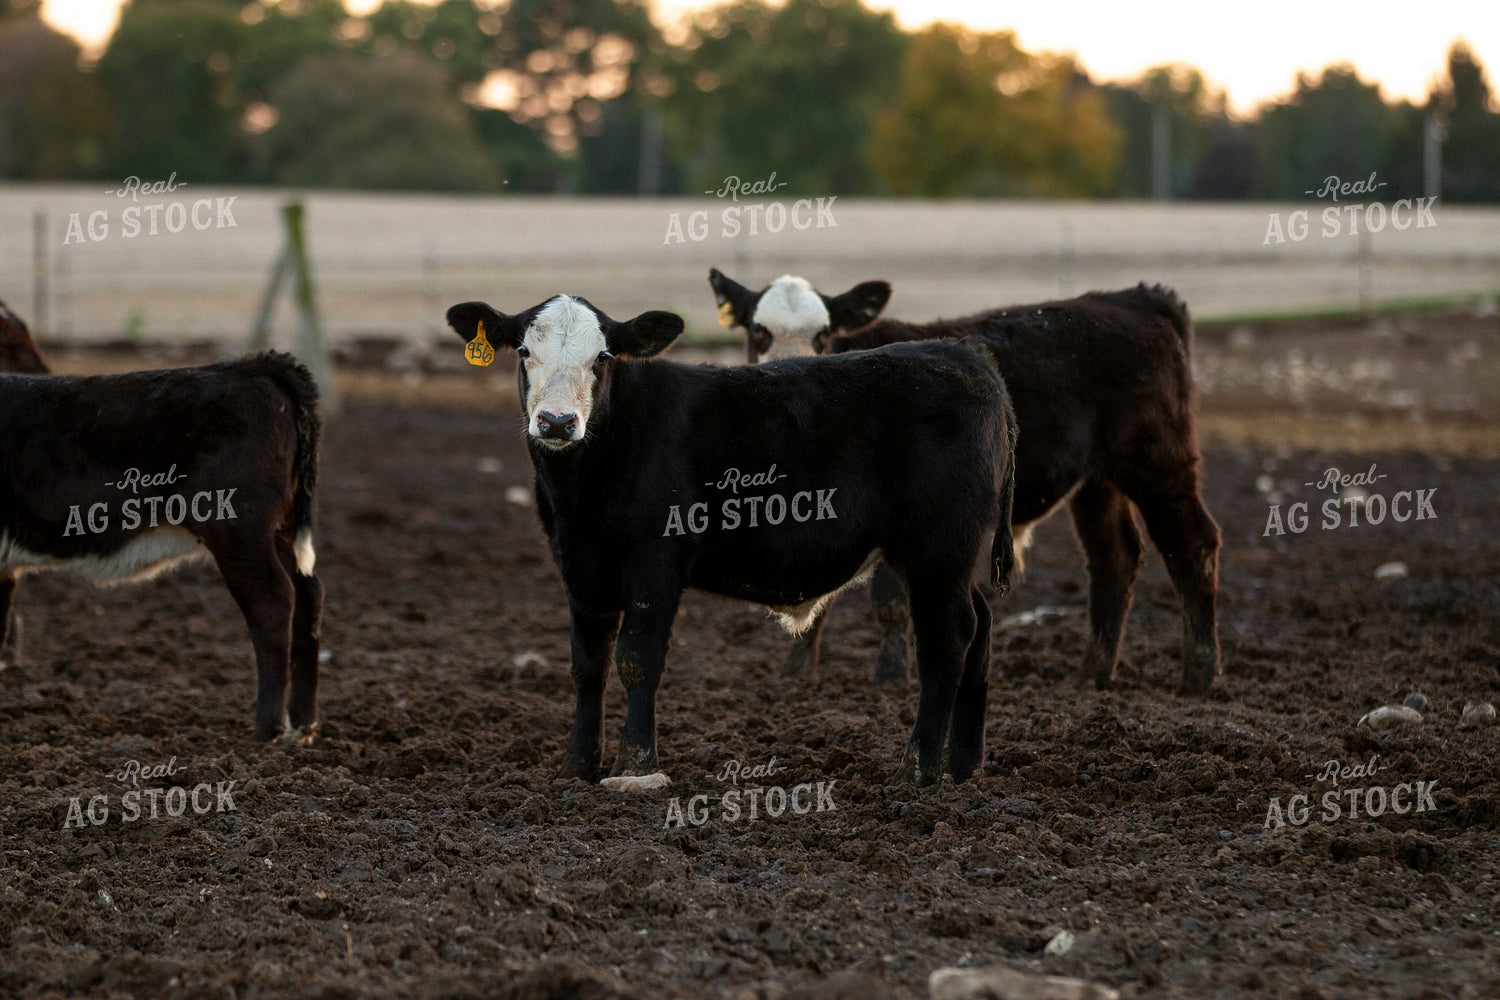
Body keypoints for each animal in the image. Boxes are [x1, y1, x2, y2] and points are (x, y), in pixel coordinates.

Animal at [0, 347, 324, 741]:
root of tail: (251, 366)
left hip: (239, 532)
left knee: (274, 601)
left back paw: (268, 728)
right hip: (280, 530)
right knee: (307, 595)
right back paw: (302, 725)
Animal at [447, 293, 1017, 787]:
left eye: (603, 357)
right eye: (524, 351)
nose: (558, 422)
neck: (581, 491)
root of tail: (965, 357)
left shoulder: (656, 560)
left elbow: (637, 658)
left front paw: (634, 767)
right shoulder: (581, 569)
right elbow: (588, 665)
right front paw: (576, 768)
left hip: (937, 549)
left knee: (947, 638)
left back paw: (918, 770)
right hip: (949, 556)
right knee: (980, 624)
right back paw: (964, 766)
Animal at [709, 269, 1222, 695]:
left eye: (823, 334)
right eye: (759, 331)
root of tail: (1137, 298)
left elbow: (888, 602)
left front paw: (889, 680)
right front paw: (795, 679)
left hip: (1156, 459)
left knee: (1191, 545)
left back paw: (1198, 678)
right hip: (1097, 479)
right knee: (1114, 558)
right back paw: (1092, 676)